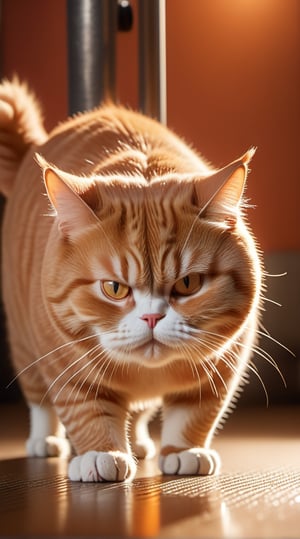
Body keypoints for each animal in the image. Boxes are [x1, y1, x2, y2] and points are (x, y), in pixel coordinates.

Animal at [0, 78, 262, 484]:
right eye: (114, 288)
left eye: (188, 284)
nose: (152, 318)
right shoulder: (64, 362)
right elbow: (86, 408)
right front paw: (100, 454)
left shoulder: (223, 364)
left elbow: (195, 412)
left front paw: (184, 451)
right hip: (25, 346)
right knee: (40, 402)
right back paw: (46, 441)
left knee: (138, 412)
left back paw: (138, 442)